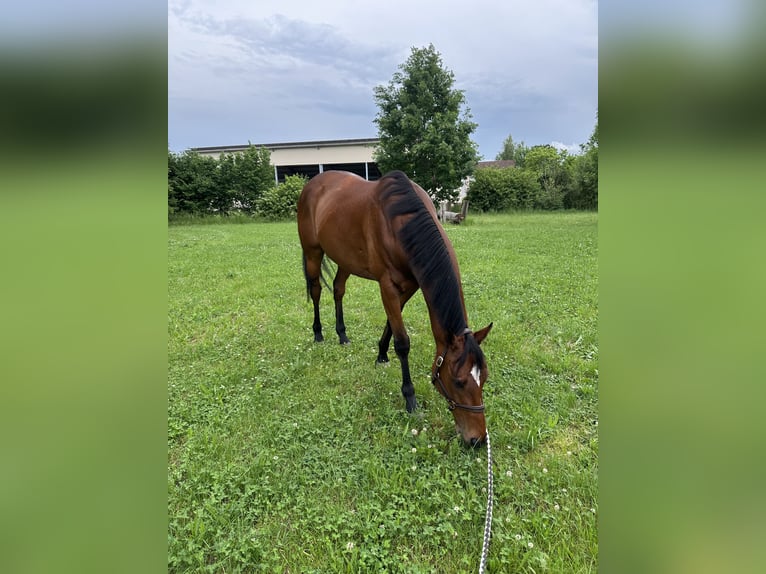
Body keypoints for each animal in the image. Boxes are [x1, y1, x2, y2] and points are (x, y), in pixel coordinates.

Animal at [297, 170, 493, 446]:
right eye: (458, 381)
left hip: (345, 259)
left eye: (484, 377)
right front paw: (410, 398)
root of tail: (312, 185)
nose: (477, 440)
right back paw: (318, 333)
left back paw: (342, 334)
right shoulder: (387, 285)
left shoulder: (411, 285)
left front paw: (381, 354)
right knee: (316, 291)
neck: (401, 222)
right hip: (313, 252)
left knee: (338, 290)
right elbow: (402, 341)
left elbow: (391, 321)